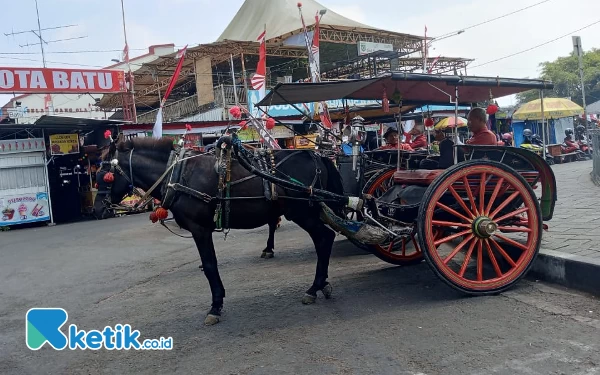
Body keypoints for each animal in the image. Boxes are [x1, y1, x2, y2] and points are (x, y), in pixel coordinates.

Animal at [94, 137, 346, 326]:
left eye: (105, 176)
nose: (98, 209)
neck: (177, 174)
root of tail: (314, 155)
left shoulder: (200, 229)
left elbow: (209, 265)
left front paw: (215, 306)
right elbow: (210, 265)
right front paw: (219, 300)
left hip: (303, 212)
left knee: (324, 239)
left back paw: (314, 287)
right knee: (323, 240)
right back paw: (322, 284)